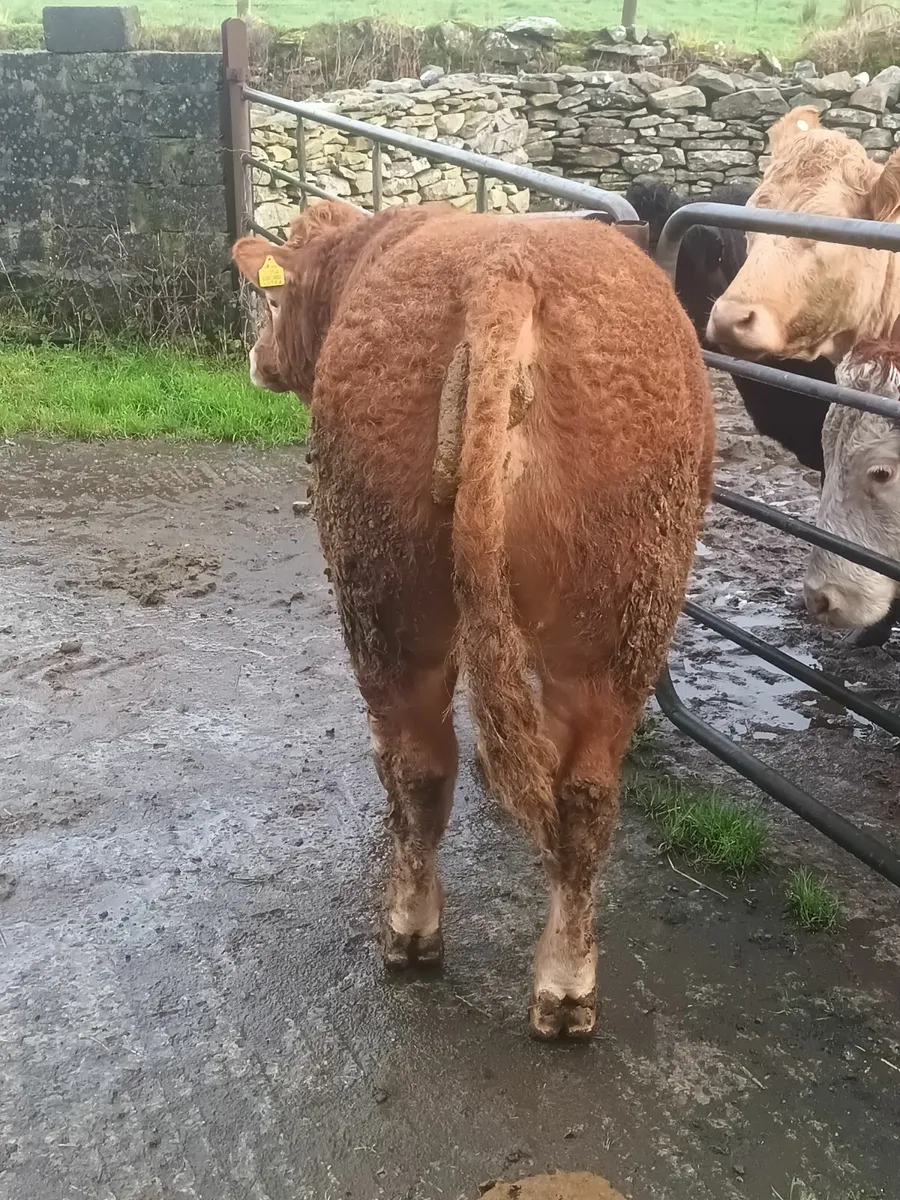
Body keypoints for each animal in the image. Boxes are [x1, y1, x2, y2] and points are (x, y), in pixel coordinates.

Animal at [231, 199, 714, 1039]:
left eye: (272, 301)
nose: (255, 359)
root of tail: (506, 267)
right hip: (614, 619)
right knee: (573, 793)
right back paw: (564, 988)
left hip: (381, 603)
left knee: (415, 763)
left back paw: (411, 929)